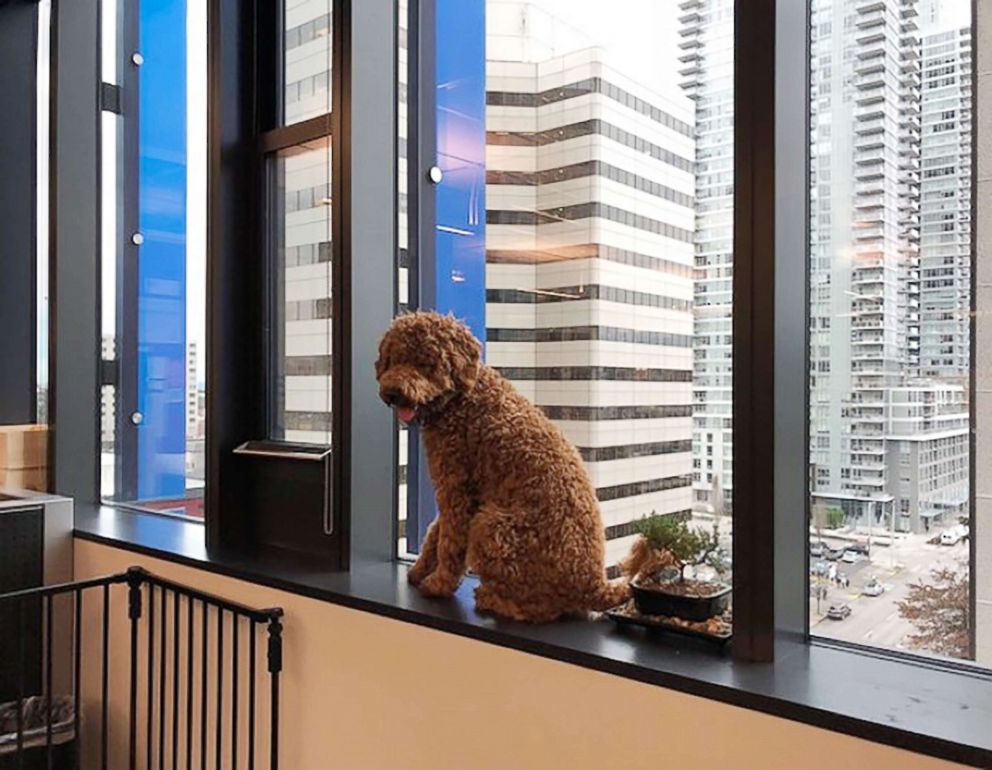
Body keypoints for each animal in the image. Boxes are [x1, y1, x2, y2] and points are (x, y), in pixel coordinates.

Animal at [376, 308, 632, 620]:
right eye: (394, 358)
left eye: (425, 364)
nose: (393, 392)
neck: (462, 398)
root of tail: (595, 584)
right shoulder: (457, 491)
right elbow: (435, 533)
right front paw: (419, 570)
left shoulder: (456, 490)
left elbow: (450, 543)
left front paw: (438, 584)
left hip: (490, 524)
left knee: (539, 609)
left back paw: (492, 600)